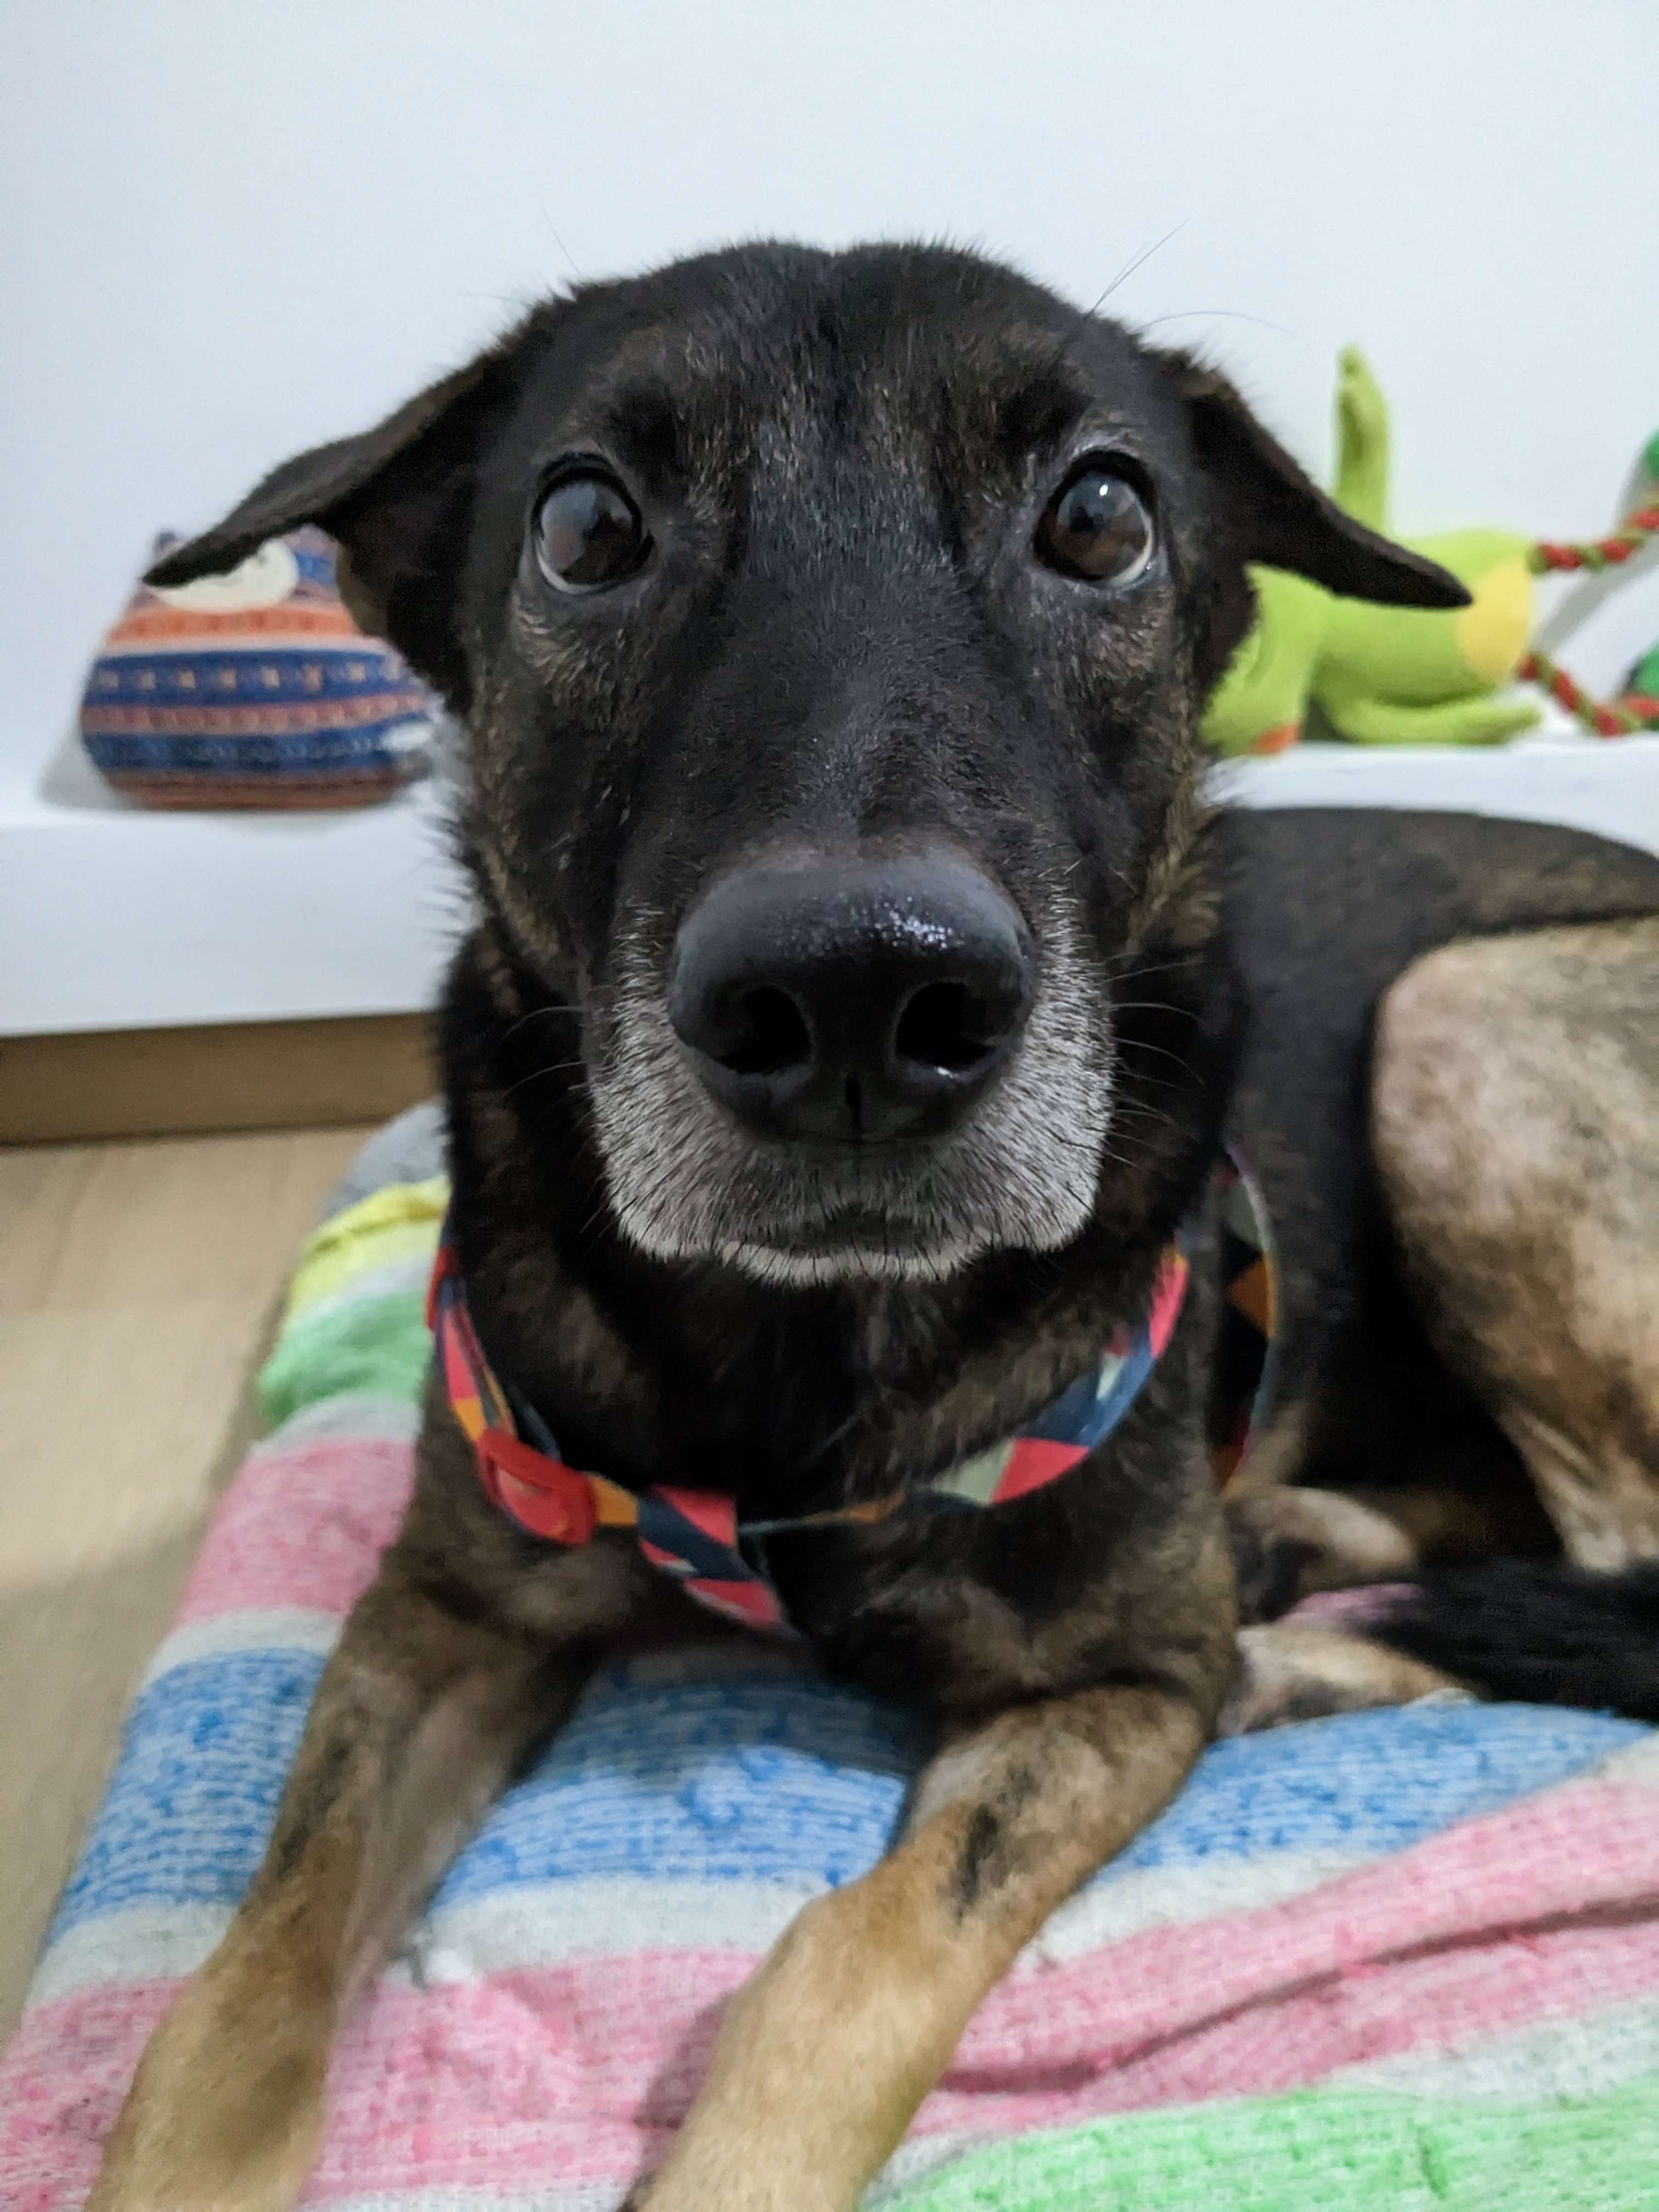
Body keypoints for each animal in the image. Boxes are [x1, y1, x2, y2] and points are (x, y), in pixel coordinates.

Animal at [91, 246, 1659, 2212]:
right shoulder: (442, 1611)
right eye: (586, 525)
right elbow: (246, 1984)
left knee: (1617, 1561)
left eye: (1101, 516)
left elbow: (856, 1960)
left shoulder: (1124, 1688)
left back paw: (1313, 1644)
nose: (853, 1003)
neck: (804, 1341)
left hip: (1466, 1014)